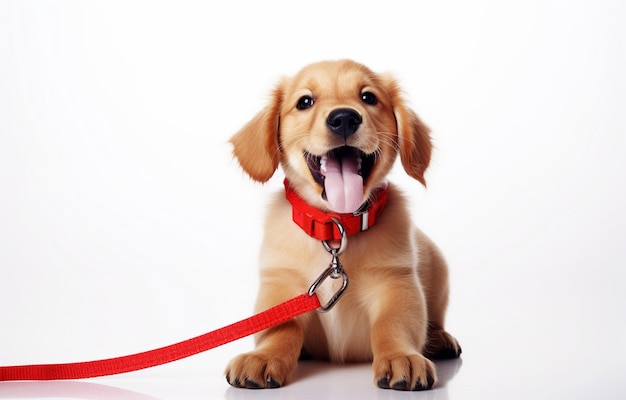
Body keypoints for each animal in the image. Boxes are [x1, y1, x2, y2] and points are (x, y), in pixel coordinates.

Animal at [224, 59, 458, 390]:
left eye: (368, 97)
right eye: (305, 102)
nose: (344, 118)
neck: (336, 228)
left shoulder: (396, 282)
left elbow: (392, 324)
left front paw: (401, 356)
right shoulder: (281, 286)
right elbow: (281, 329)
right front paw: (264, 356)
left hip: (438, 268)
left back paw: (440, 339)